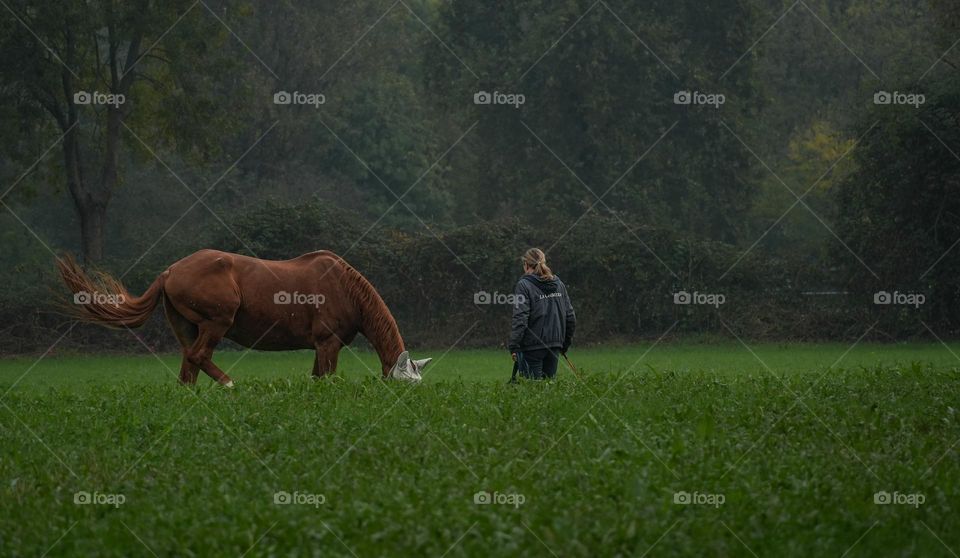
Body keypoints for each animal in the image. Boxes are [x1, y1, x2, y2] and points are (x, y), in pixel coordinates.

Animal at [58, 252, 434, 388]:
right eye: (405, 384)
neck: (344, 287)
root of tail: (170, 271)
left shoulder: (320, 347)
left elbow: (315, 378)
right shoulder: (328, 344)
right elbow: (326, 377)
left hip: (187, 328)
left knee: (188, 366)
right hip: (215, 324)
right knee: (199, 356)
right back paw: (229, 385)